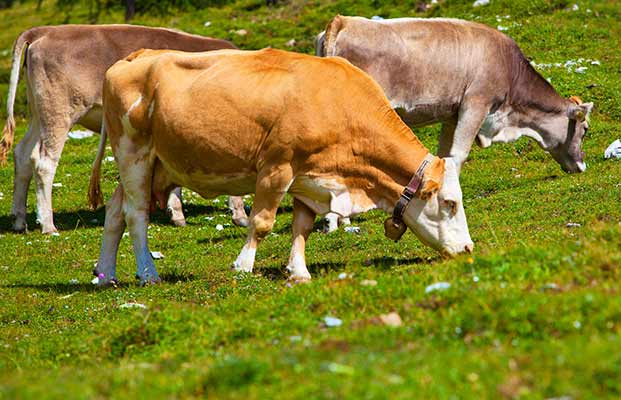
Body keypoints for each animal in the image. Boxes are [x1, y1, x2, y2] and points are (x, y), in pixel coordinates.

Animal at [0, 24, 247, 234]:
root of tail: (42, 31)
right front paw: (239, 214)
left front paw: (176, 213)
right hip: (58, 111)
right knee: (44, 164)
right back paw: (48, 225)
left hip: (38, 114)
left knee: (23, 154)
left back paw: (19, 221)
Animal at [89, 47, 472, 284]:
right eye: (450, 203)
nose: (469, 249)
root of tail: (135, 57)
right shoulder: (277, 167)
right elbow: (261, 223)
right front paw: (243, 265)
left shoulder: (310, 177)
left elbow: (301, 226)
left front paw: (298, 271)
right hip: (133, 152)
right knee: (136, 214)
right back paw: (147, 272)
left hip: (152, 163)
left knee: (115, 212)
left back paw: (106, 273)